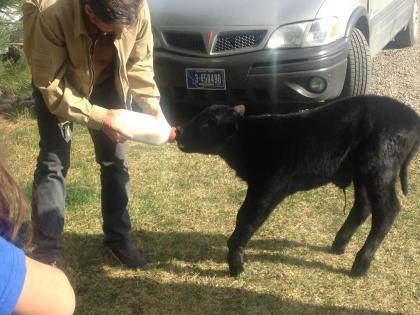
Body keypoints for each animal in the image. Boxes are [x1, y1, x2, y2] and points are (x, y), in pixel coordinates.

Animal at [176, 95, 420, 278]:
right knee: (364, 205)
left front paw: (236, 263)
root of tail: (412, 119)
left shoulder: (267, 187)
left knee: (388, 210)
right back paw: (339, 245)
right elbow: (245, 218)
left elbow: (247, 219)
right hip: (362, 172)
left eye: (204, 125)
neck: (250, 141)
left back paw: (360, 265)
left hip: (379, 167)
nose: (178, 131)